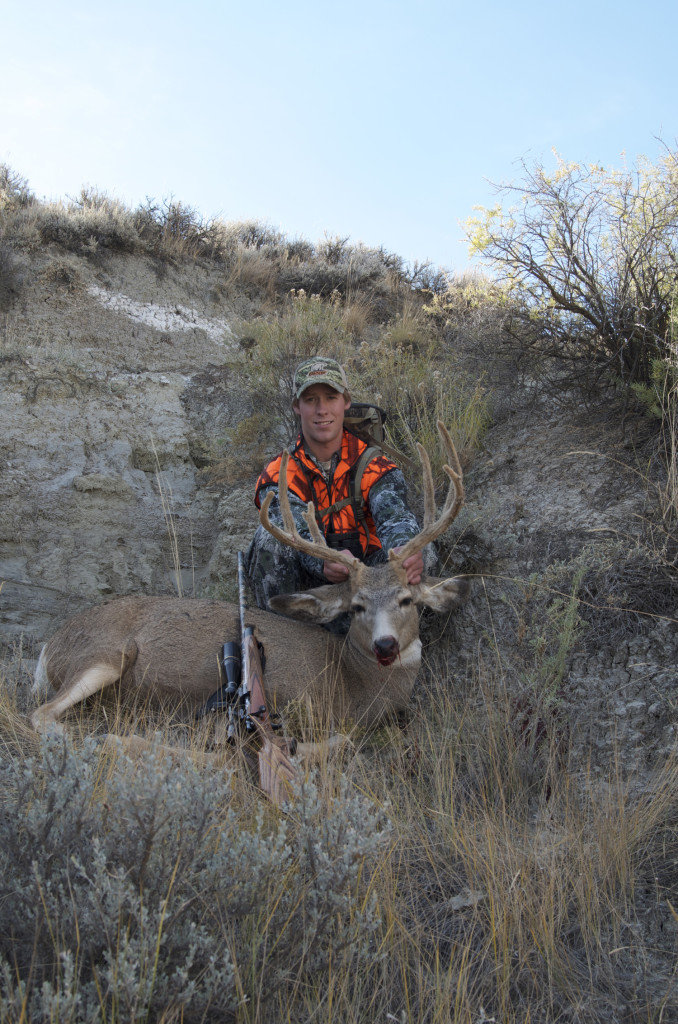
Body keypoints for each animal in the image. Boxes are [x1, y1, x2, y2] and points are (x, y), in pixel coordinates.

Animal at [30, 421, 469, 743]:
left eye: (407, 599)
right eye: (357, 606)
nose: (385, 644)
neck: (350, 683)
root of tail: (49, 645)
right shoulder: (291, 702)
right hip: (101, 655)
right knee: (41, 714)